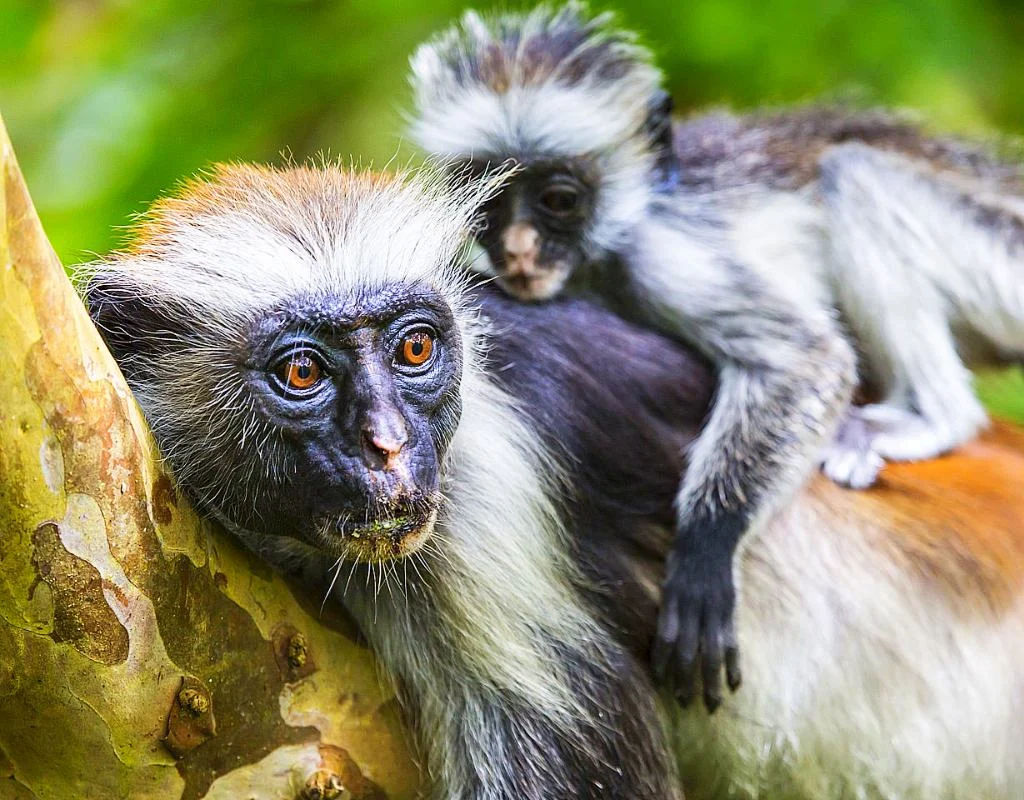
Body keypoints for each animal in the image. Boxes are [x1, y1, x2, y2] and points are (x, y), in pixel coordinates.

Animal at [407, 1, 1024, 710]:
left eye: (558, 200)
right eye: (489, 203)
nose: (518, 252)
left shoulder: (658, 256)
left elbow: (805, 358)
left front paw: (707, 545)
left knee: (854, 174)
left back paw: (933, 417)